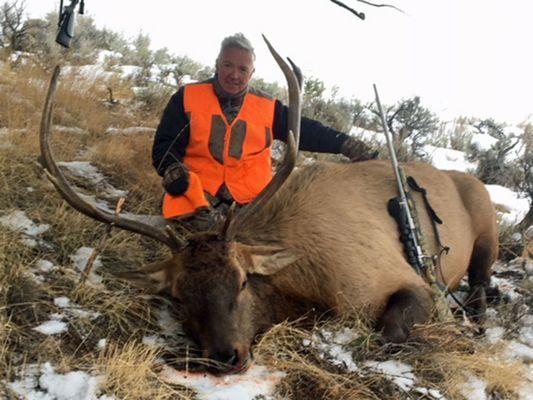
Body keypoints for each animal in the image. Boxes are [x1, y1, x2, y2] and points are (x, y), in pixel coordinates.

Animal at [39, 38, 496, 376]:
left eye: (243, 281)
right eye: (179, 295)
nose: (225, 356)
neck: (308, 283)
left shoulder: (404, 280)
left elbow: (391, 328)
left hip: (487, 224)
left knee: (479, 284)